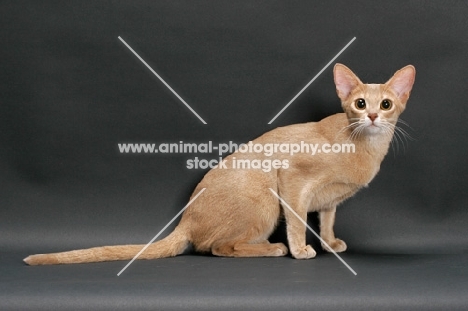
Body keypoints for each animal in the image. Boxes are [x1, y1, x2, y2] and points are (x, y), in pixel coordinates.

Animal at [23, 62, 414, 266]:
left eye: (386, 104)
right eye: (360, 104)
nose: (373, 117)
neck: (364, 147)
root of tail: (184, 220)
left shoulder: (330, 201)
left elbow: (327, 220)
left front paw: (330, 243)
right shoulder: (291, 180)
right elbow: (298, 223)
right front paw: (302, 248)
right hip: (265, 200)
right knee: (217, 248)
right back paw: (272, 249)